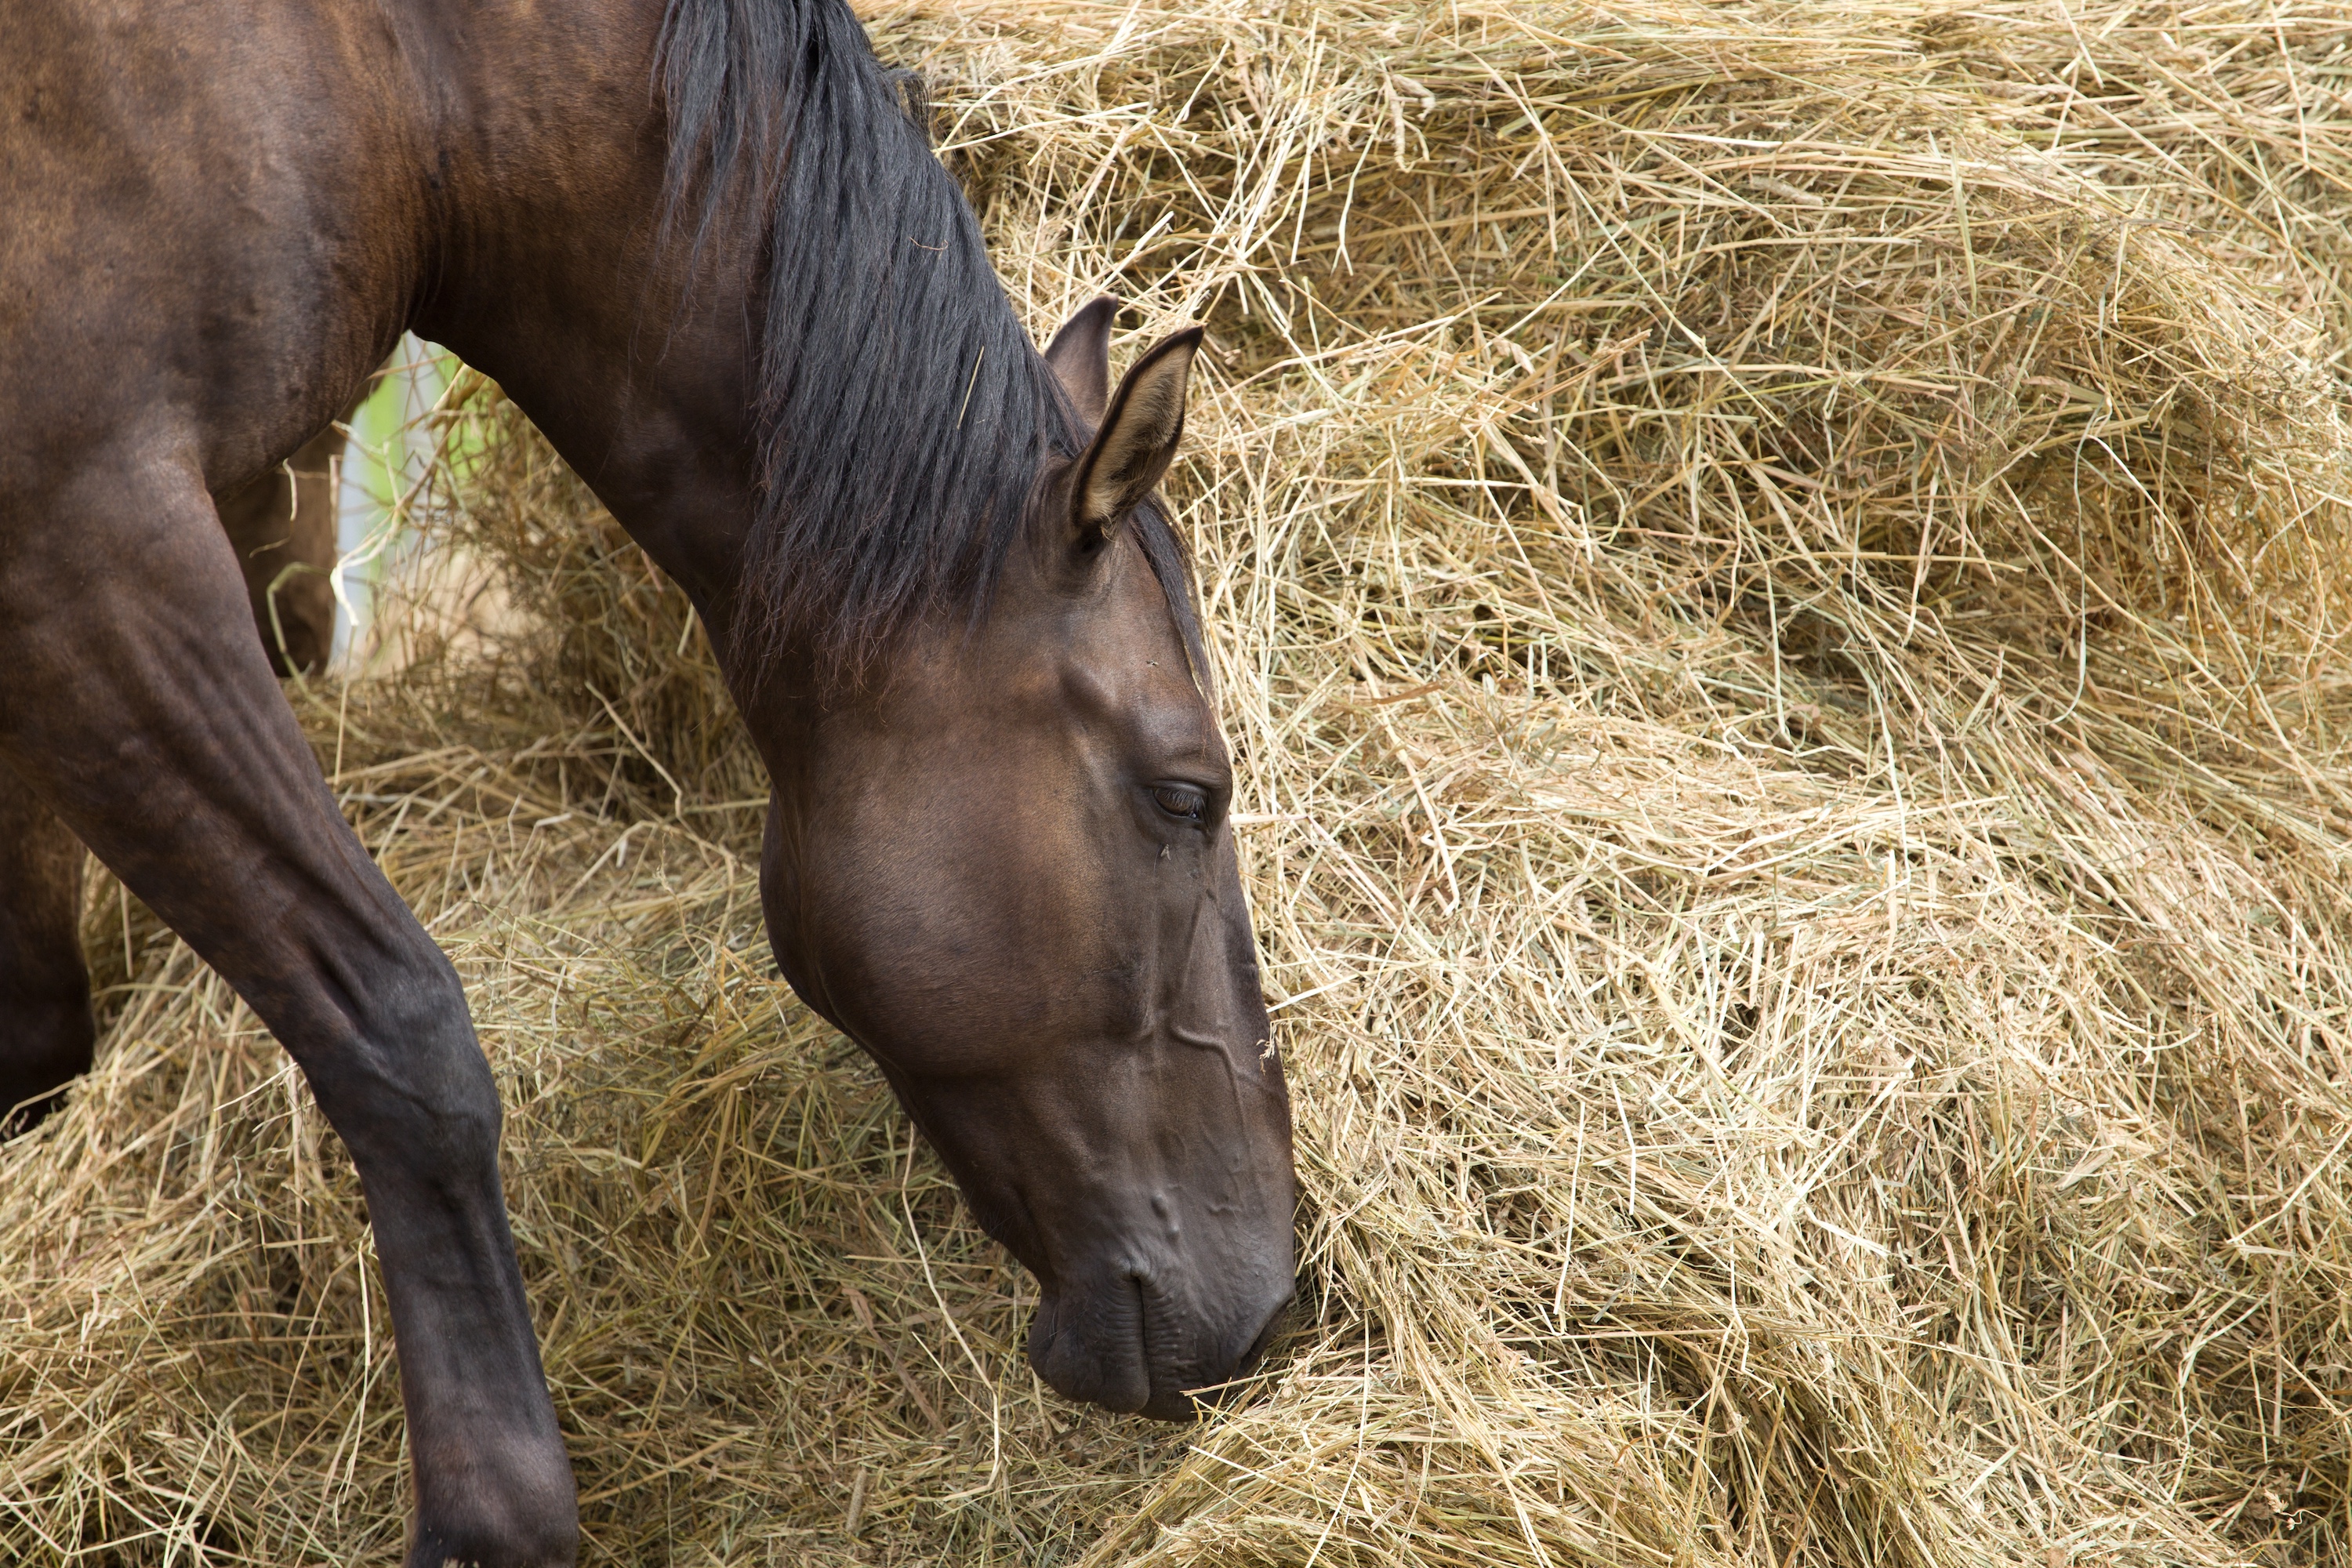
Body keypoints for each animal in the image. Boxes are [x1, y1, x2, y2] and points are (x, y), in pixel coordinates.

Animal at [0, 2, 1298, 1563]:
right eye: (1189, 793)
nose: (1272, 1303)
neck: (400, 82)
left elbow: (33, 1029)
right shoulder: (91, 548)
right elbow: (403, 1031)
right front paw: (494, 1515)